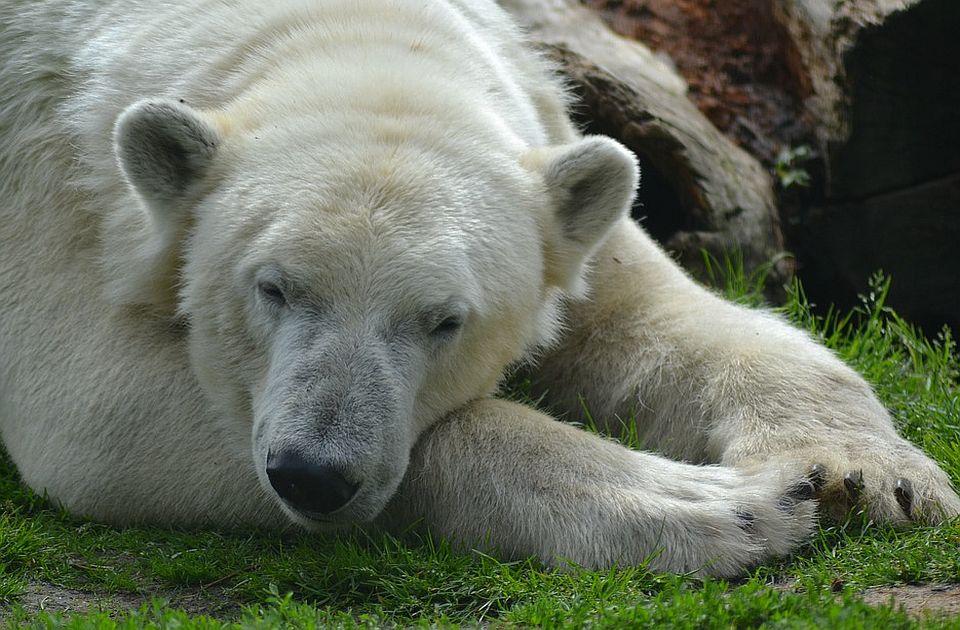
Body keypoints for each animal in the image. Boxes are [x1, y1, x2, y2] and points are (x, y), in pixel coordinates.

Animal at [0, 0, 956, 576]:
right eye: (272, 289)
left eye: (443, 320)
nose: (314, 476)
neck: (335, 35)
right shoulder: (55, 191)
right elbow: (95, 412)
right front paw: (731, 506)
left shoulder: (552, 167)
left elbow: (653, 320)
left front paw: (867, 477)